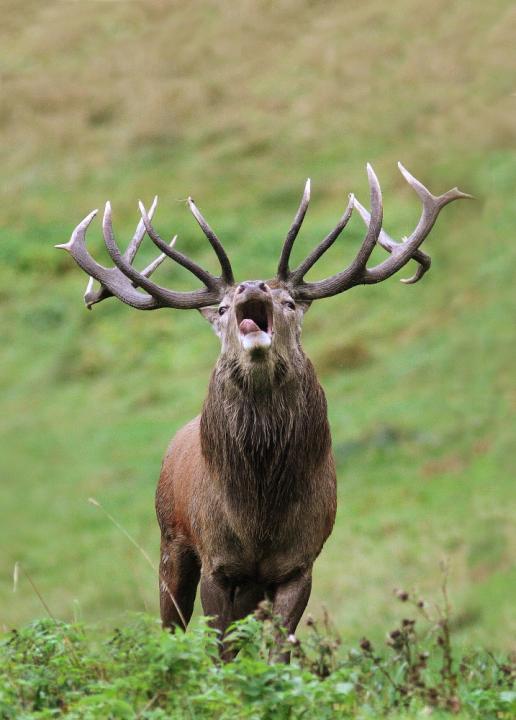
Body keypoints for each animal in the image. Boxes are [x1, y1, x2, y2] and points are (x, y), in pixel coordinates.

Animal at [56, 163, 472, 660]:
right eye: (220, 307)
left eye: (290, 302)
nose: (251, 287)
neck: (259, 516)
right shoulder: (217, 561)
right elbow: (220, 651)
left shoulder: (299, 564)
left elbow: (279, 651)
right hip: (170, 541)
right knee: (170, 625)